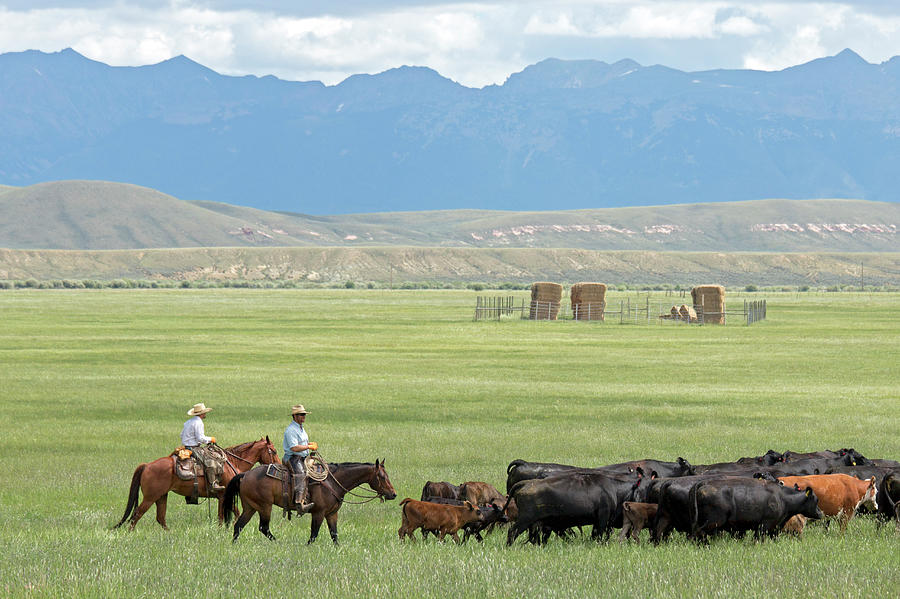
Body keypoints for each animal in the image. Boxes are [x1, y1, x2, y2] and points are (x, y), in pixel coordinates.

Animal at [114, 438, 280, 532]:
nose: (279, 465)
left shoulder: (224, 497)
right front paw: (222, 530)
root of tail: (147, 465)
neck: (233, 463)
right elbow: (221, 516)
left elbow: (236, 512)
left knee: (160, 518)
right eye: (273, 451)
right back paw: (130, 533)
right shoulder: (222, 496)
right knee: (137, 514)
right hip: (150, 497)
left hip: (161, 496)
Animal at [223, 462, 396, 548]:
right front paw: (307, 547)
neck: (332, 482)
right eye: (381, 476)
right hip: (265, 506)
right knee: (263, 527)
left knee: (239, 525)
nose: (393, 494)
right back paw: (278, 543)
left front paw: (338, 549)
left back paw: (234, 545)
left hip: (251, 507)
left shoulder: (332, 514)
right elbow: (314, 534)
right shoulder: (318, 513)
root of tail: (245, 474)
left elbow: (334, 534)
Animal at [688, 478, 824, 544]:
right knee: (700, 532)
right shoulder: (765, 525)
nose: (820, 513)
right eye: (815, 500)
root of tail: (703, 483)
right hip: (713, 521)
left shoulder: (774, 527)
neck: (782, 497)